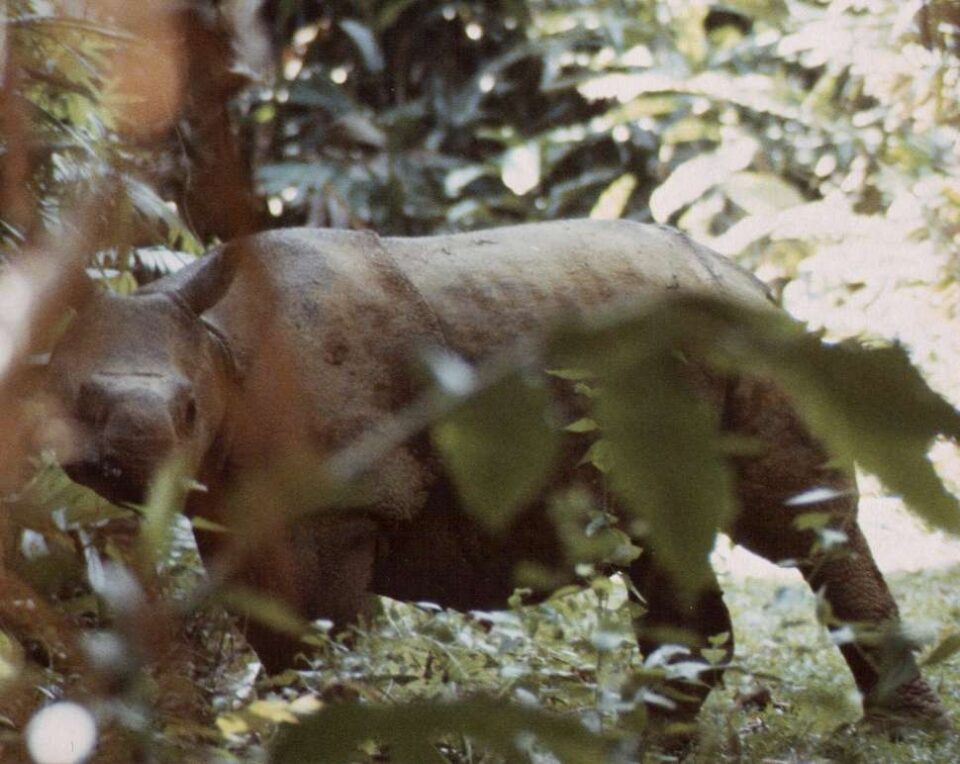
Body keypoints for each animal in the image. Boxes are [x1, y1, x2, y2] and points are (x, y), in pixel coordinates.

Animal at [44, 219, 947, 727]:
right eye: (74, 398)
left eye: (190, 409)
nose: (138, 457)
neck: (223, 348)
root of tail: (748, 275)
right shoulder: (237, 506)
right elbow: (281, 644)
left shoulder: (340, 506)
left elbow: (322, 645)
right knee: (665, 542)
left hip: (754, 346)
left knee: (799, 525)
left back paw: (898, 736)